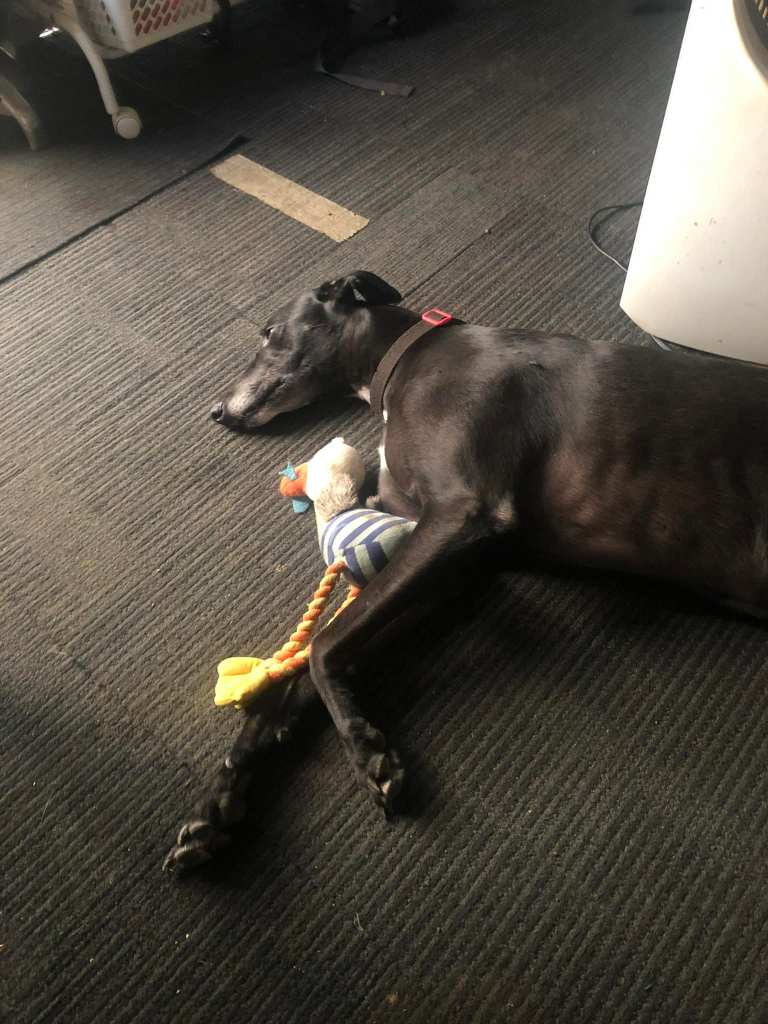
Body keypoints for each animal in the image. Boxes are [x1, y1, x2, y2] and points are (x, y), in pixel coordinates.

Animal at [164, 270, 768, 871]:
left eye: (269, 331)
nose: (216, 411)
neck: (412, 357)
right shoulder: (448, 564)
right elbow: (315, 665)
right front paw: (221, 800)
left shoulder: (461, 513)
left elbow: (321, 646)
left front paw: (365, 748)